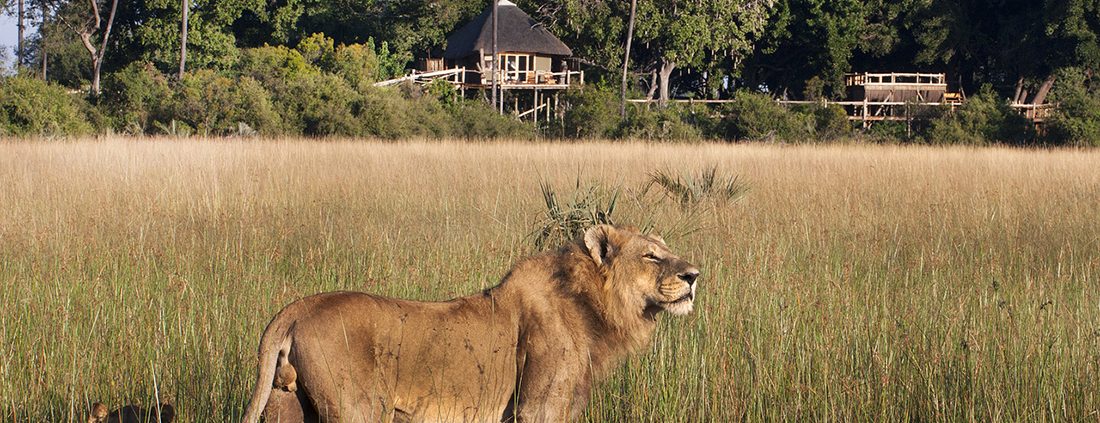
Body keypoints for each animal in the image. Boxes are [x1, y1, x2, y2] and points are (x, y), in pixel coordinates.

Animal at [244, 221, 699, 419]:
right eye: (652, 256)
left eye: (668, 250)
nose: (695, 276)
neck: (591, 307)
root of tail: (296, 308)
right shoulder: (537, 408)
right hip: (358, 409)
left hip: (287, 404)